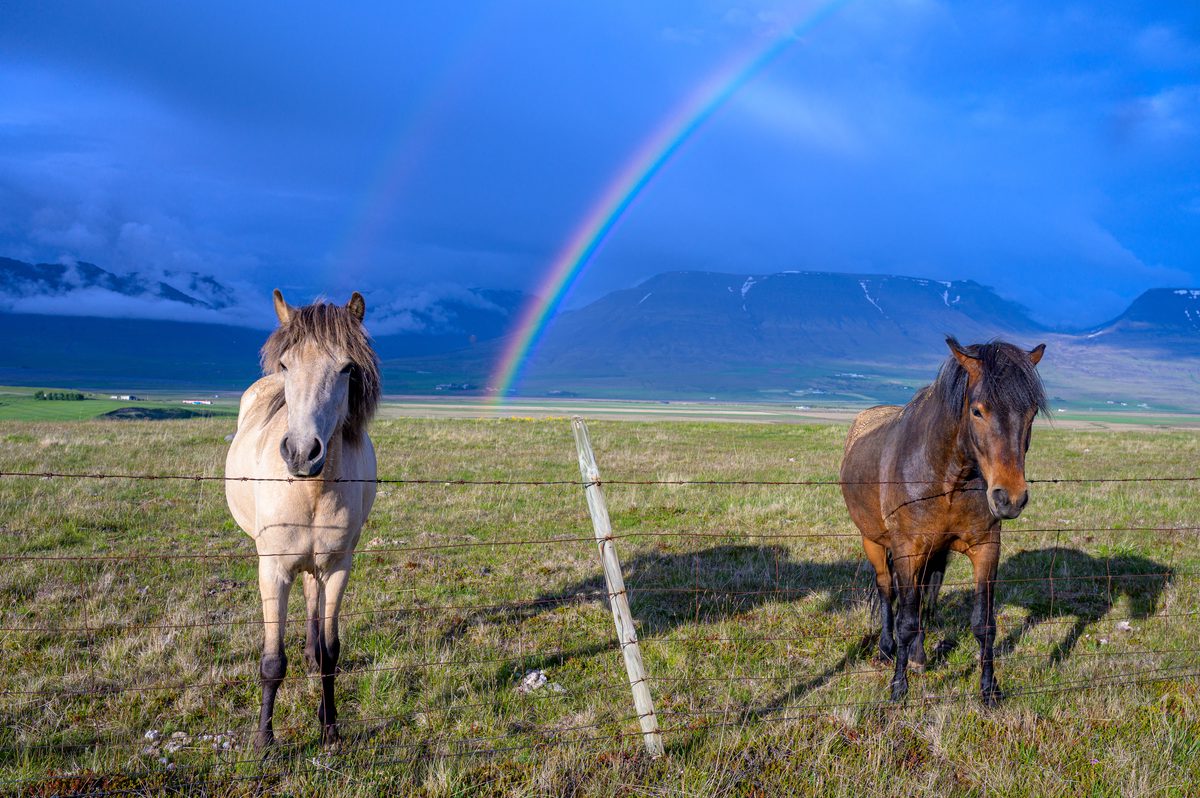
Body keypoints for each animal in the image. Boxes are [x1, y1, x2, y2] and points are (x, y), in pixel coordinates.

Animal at [225, 290, 380, 748]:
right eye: (286, 364)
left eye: (347, 368)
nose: (300, 452)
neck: (311, 488)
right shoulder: (273, 571)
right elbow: (272, 661)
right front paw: (263, 741)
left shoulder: (338, 567)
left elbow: (332, 652)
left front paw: (329, 727)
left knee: (313, 599)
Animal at [840, 337, 1046, 705]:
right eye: (977, 410)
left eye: (1032, 412)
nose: (1009, 498)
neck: (946, 477)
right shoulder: (906, 550)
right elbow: (906, 619)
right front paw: (898, 689)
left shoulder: (985, 548)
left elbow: (983, 623)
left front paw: (989, 690)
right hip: (873, 542)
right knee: (886, 589)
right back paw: (886, 649)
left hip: (934, 552)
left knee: (924, 596)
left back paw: (919, 656)